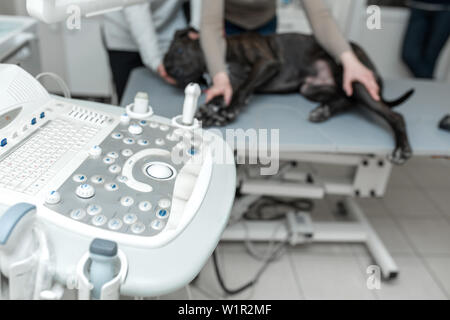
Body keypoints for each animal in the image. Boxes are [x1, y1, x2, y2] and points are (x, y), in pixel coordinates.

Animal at [163, 28, 414, 164]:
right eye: (166, 62)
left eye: (179, 51)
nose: (170, 72)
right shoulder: (234, 82)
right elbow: (232, 92)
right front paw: (210, 109)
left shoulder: (266, 62)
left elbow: (242, 90)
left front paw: (226, 112)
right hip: (311, 88)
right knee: (347, 100)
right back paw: (323, 110)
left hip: (353, 76)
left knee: (395, 115)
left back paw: (402, 149)